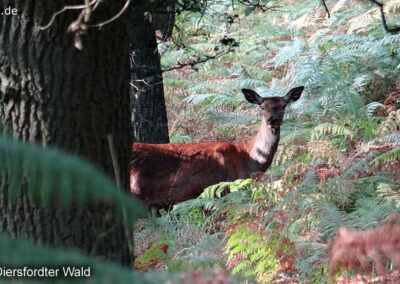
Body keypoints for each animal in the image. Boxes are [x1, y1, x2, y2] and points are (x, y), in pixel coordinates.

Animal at [130, 86, 304, 209]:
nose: (272, 119)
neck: (249, 160)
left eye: (283, 105)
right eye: (261, 106)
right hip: (137, 195)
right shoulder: (225, 189)